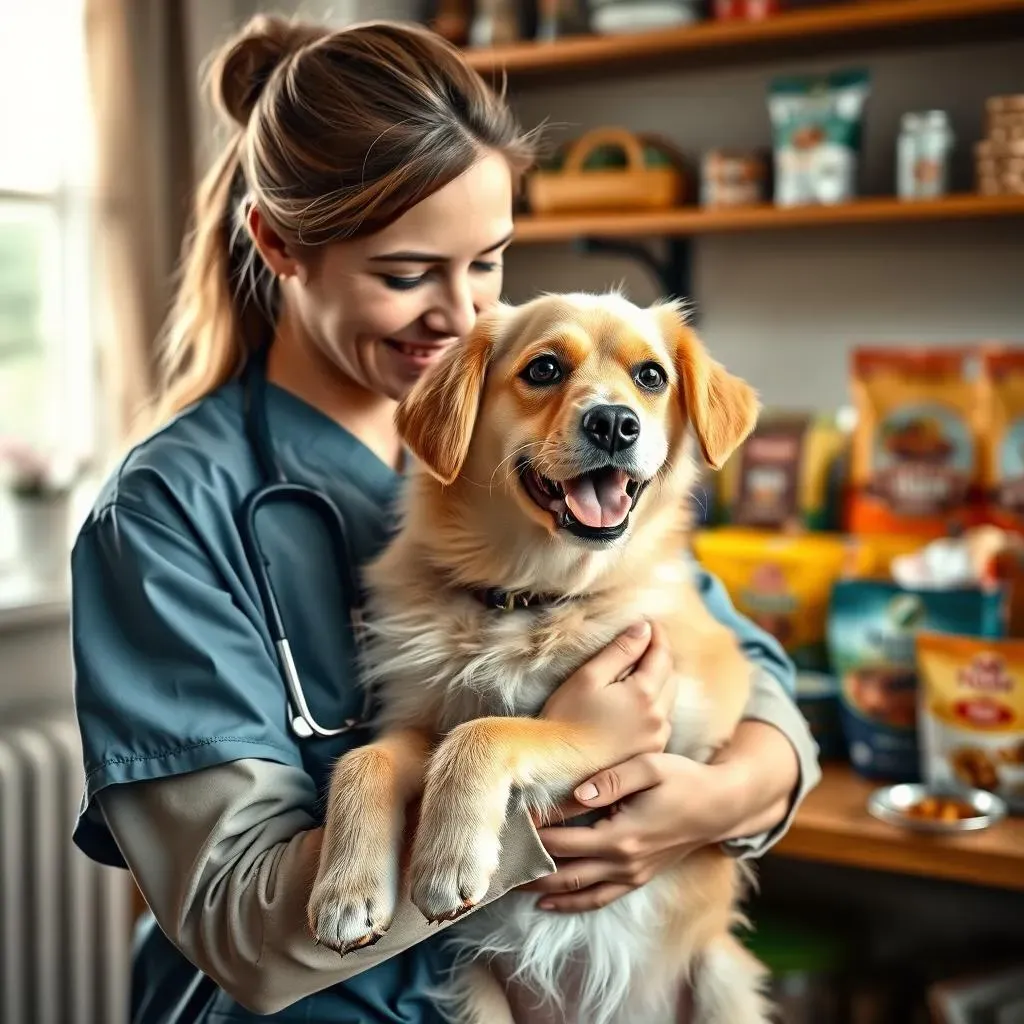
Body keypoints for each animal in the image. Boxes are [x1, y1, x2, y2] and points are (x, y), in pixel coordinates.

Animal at [307, 290, 770, 1024]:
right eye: (545, 369)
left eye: (651, 376)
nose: (615, 424)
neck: (526, 596)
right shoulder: (417, 719)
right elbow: (363, 760)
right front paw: (347, 891)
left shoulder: (638, 728)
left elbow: (487, 731)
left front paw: (444, 861)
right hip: (475, 991)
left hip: (722, 980)